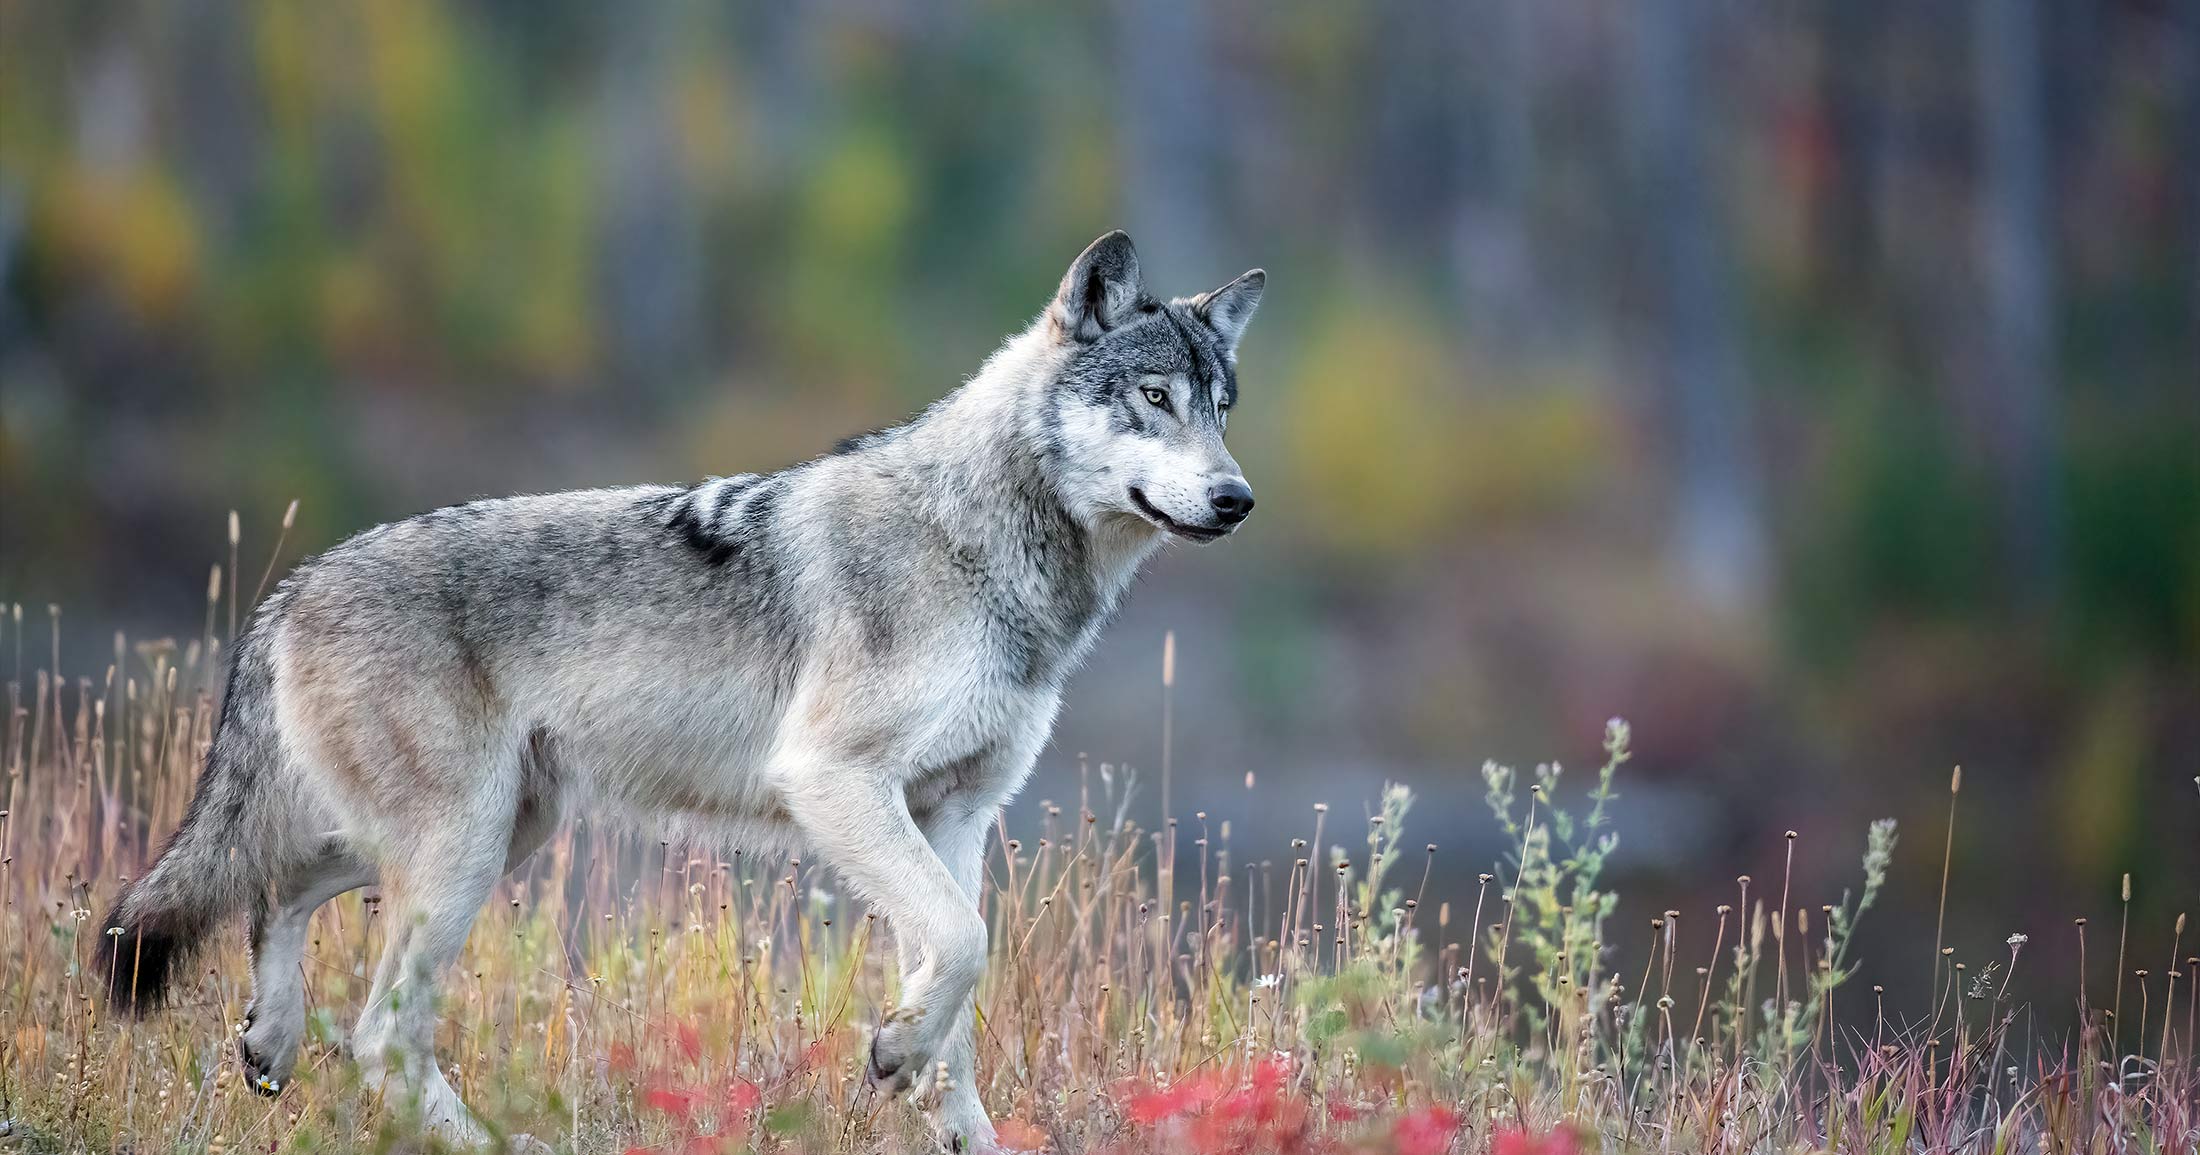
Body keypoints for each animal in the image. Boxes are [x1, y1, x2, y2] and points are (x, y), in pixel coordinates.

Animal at [94, 231, 1262, 1151]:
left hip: (498, 830)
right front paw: (892, 1052)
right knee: (379, 1027)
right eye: (1153, 398)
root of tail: (292, 588)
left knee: (277, 891)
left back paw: (270, 1039)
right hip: (465, 847)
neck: (979, 547)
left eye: (1219, 406)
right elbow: (965, 945)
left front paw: (946, 1113)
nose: (1237, 498)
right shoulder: (833, 781)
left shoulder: (957, 815)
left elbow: (960, 981)